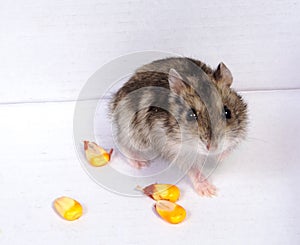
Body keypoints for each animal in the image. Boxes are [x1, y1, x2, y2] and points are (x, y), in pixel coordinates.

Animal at [109, 57, 247, 197]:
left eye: (227, 112)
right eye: (191, 115)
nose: (212, 148)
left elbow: (230, 146)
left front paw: (219, 157)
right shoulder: (174, 148)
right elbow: (192, 169)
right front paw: (209, 191)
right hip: (131, 131)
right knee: (121, 143)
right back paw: (141, 162)